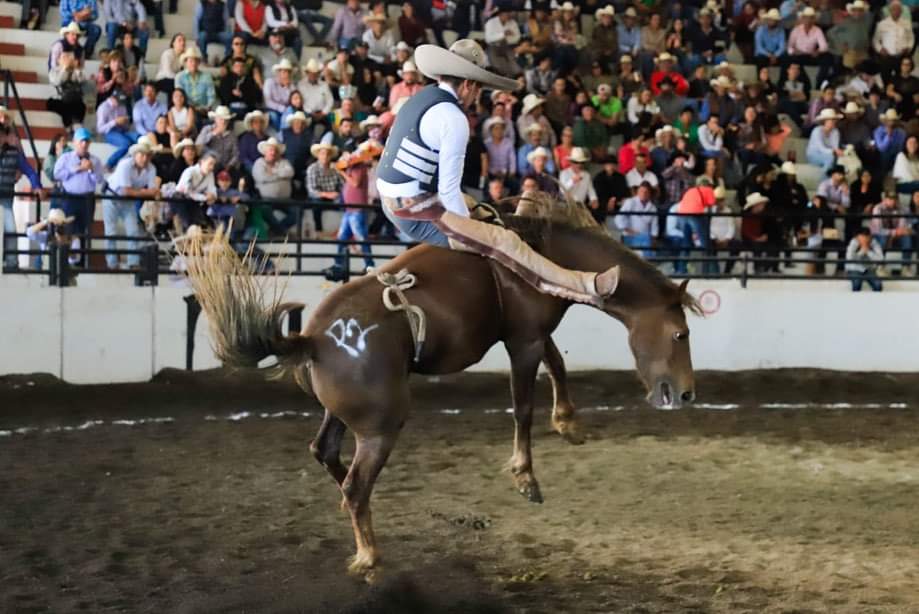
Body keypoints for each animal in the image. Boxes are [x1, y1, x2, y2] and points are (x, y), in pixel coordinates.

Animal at [183, 197, 700, 584]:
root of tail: (310, 338)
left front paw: (569, 423)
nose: (687, 395)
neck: (544, 255)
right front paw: (526, 477)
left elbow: (557, 365)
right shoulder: (524, 340)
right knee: (356, 484)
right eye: (681, 334)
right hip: (382, 426)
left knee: (326, 454)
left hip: (344, 415)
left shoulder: (529, 334)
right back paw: (369, 558)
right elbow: (523, 406)